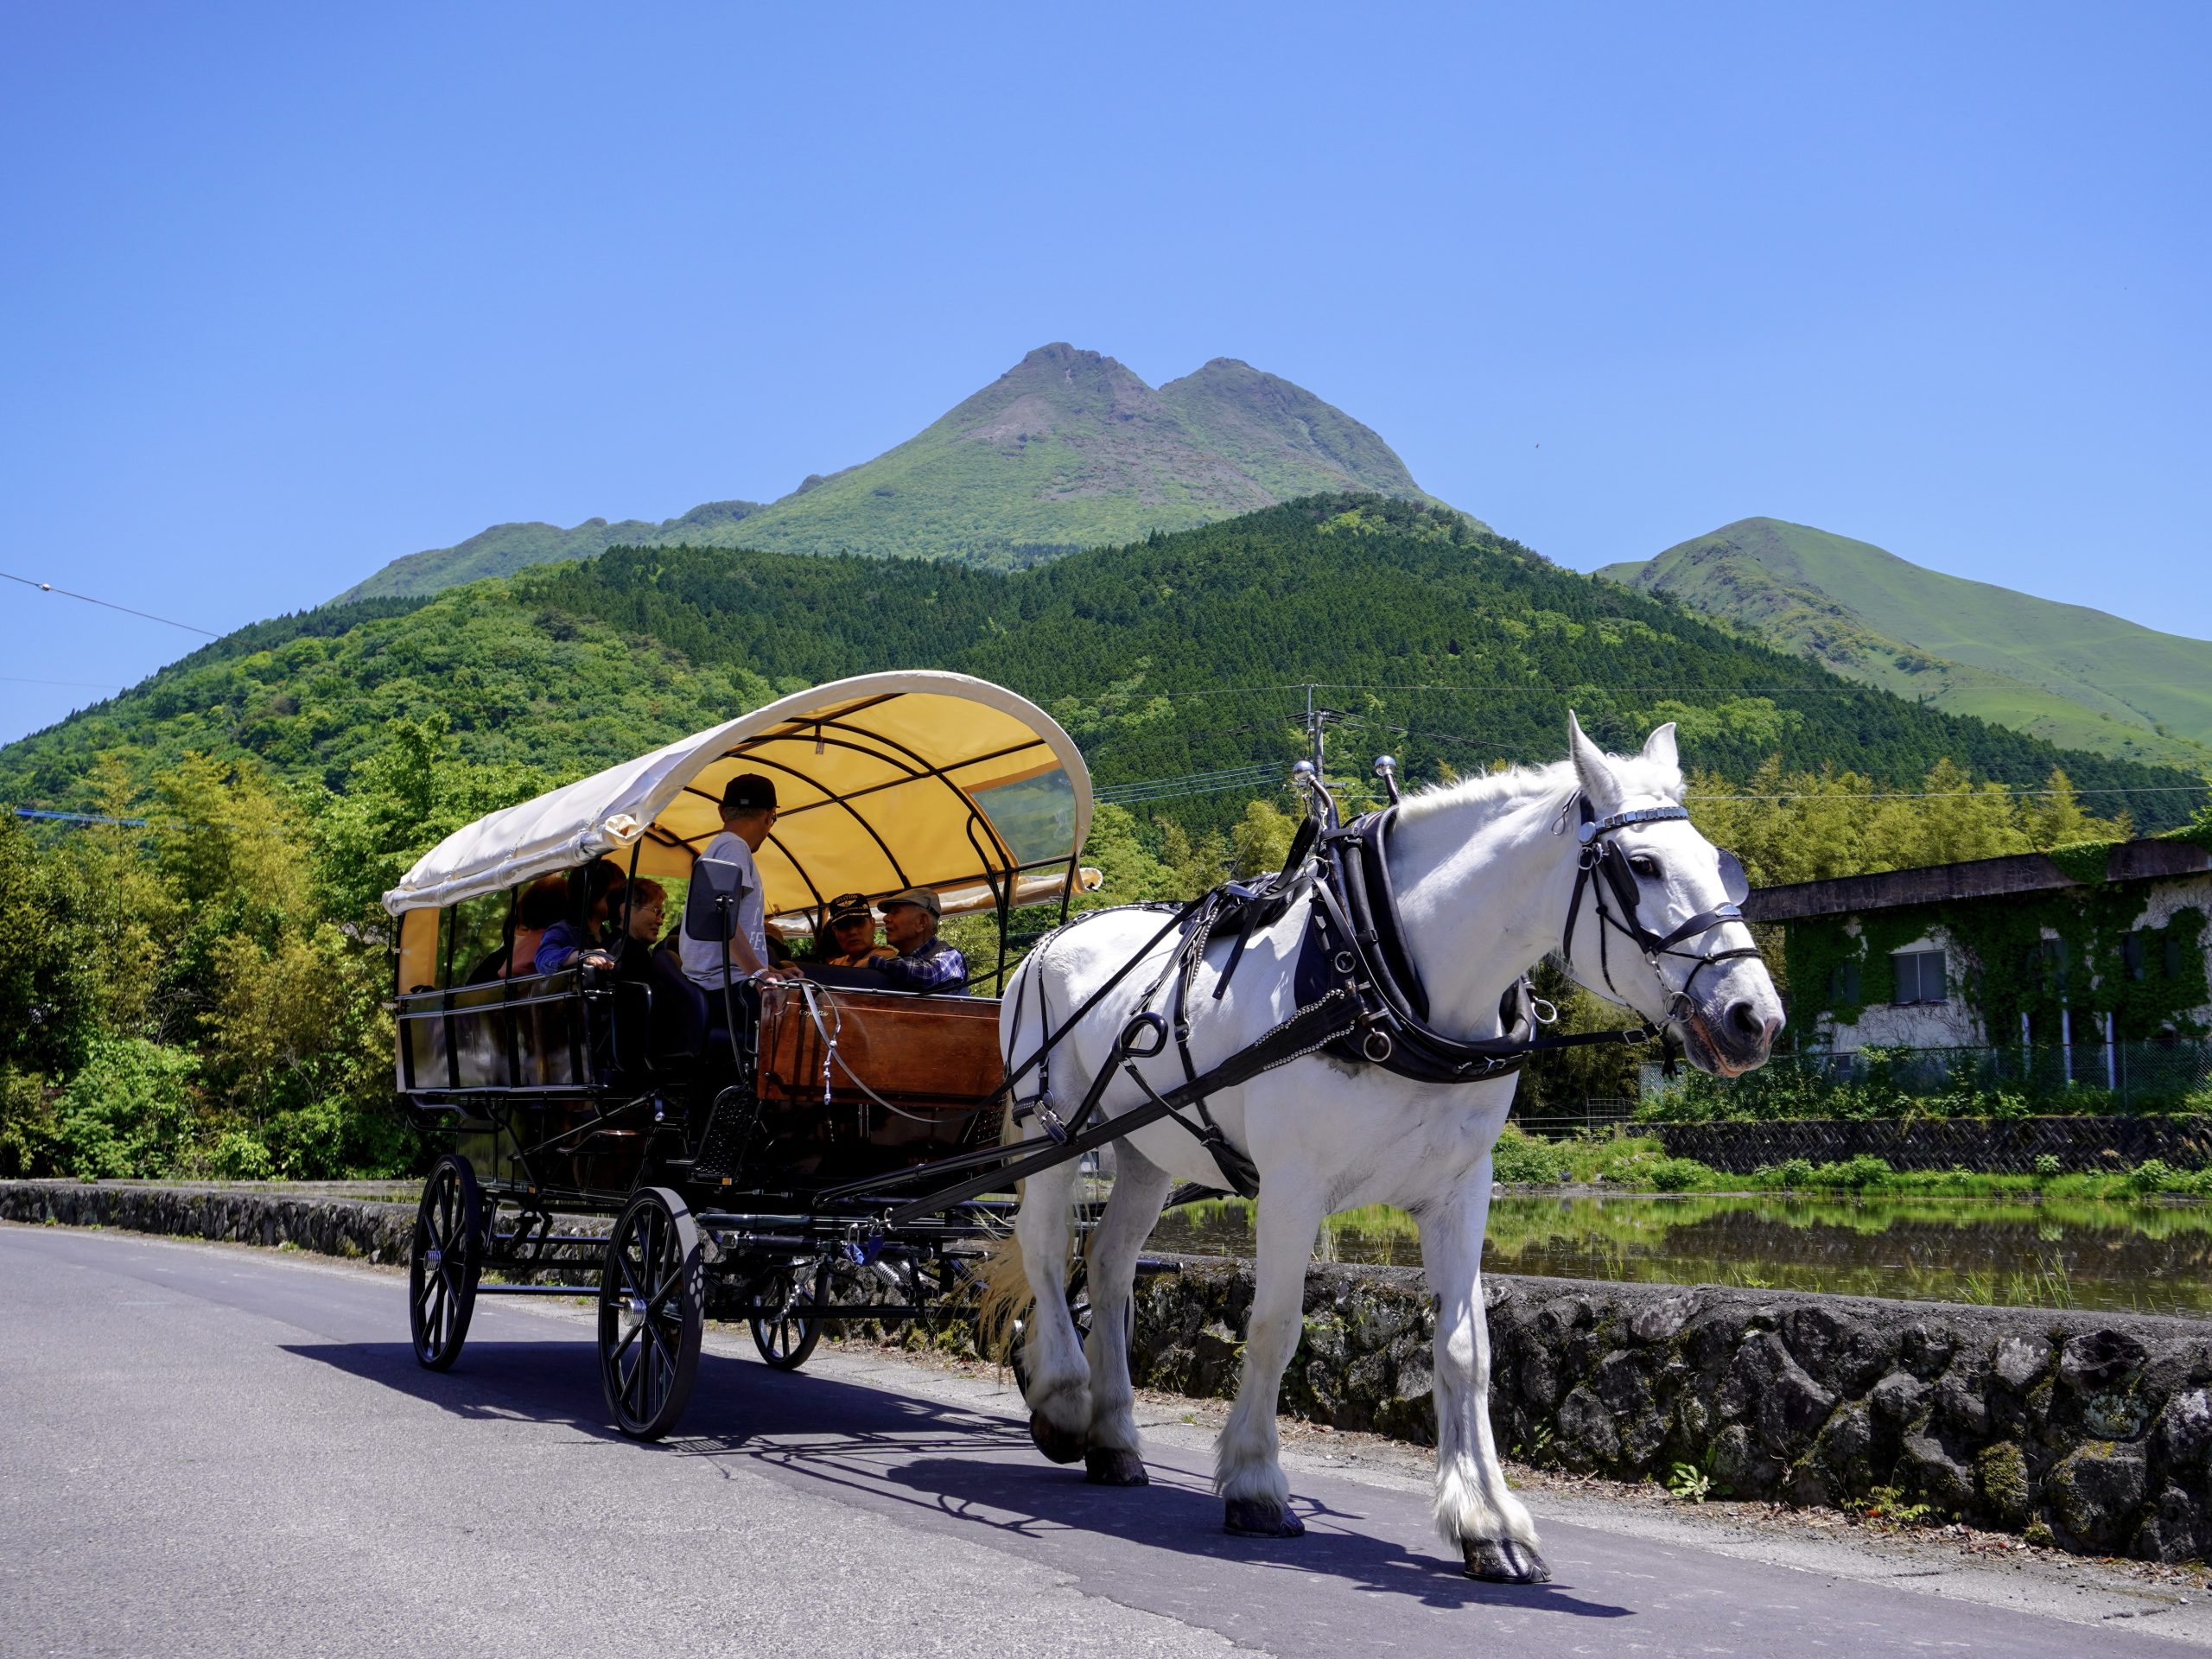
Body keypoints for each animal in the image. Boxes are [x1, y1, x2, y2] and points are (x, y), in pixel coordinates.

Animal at [995, 716, 1787, 1583]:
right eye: (1641, 866)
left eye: (1724, 865)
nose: (1755, 1018)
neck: (1383, 976)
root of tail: (1050, 940)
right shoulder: (1292, 1185)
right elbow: (1276, 1326)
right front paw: (1256, 1483)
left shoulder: (1460, 1190)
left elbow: (1468, 1349)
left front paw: (1488, 1523)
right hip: (1053, 1129)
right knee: (1045, 1248)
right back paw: (1065, 1400)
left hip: (1145, 1149)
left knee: (1108, 1265)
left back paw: (1113, 1438)